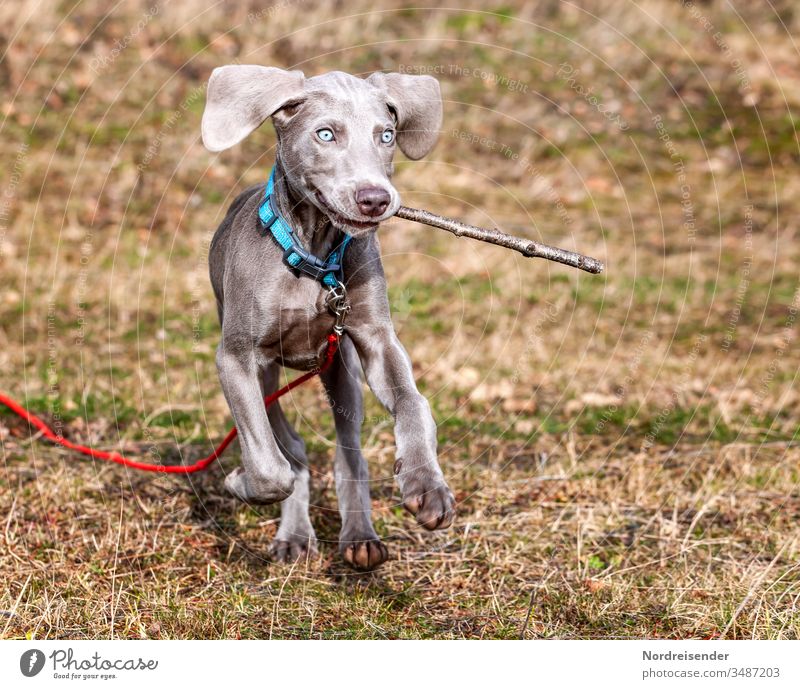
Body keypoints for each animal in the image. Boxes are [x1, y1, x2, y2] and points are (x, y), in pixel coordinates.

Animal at [202, 66, 456, 568]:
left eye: (386, 135)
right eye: (325, 134)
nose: (375, 199)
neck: (314, 257)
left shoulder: (376, 339)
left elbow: (414, 403)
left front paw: (426, 483)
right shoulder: (236, 358)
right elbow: (269, 466)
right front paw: (240, 482)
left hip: (341, 369)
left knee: (348, 453)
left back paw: (360, 536)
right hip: (266, 376)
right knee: (290, 447)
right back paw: (295, 534)